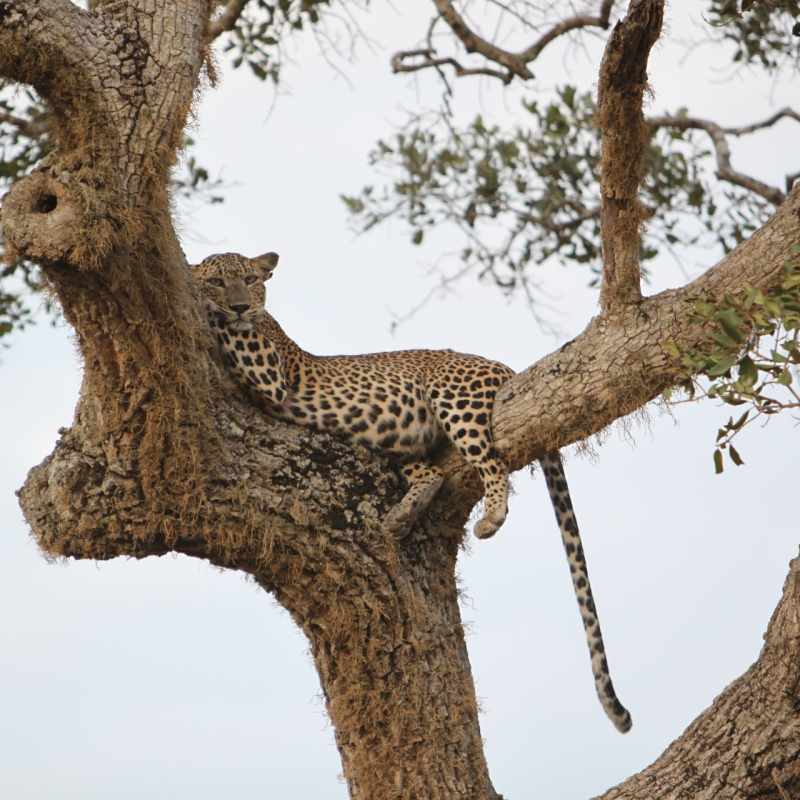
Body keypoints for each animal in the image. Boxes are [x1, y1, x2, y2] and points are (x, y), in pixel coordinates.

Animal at [192, 250, 632, 733]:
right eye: (218, 281)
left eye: (250, 280)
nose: (238, 305)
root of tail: (501, 364)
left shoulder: (270, 372)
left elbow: (232, 332)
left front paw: (212, 308)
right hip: (402, 440)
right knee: (433, 473)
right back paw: (402, 515)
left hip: (454, 399)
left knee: (491, 462)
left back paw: (491, 516)